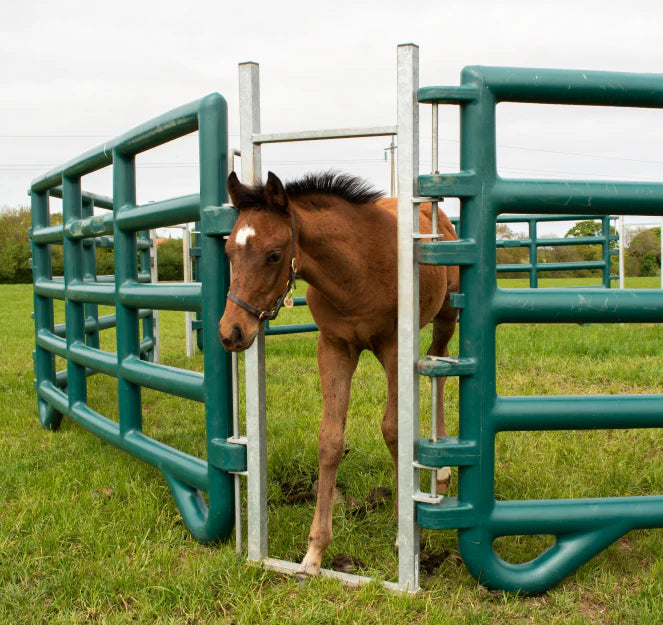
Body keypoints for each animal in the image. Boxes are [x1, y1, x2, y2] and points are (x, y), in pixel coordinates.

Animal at [219, 170, 460, 577]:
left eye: (274, 254)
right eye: (229, 253)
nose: (231, 332)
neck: (354, 269)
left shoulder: (394, 347)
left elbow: (393, 429)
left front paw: (402, 534)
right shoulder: (334, 347)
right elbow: (330, 439)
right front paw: (314, 553)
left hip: (447, 315)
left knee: (439, 365)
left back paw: (440, 470)